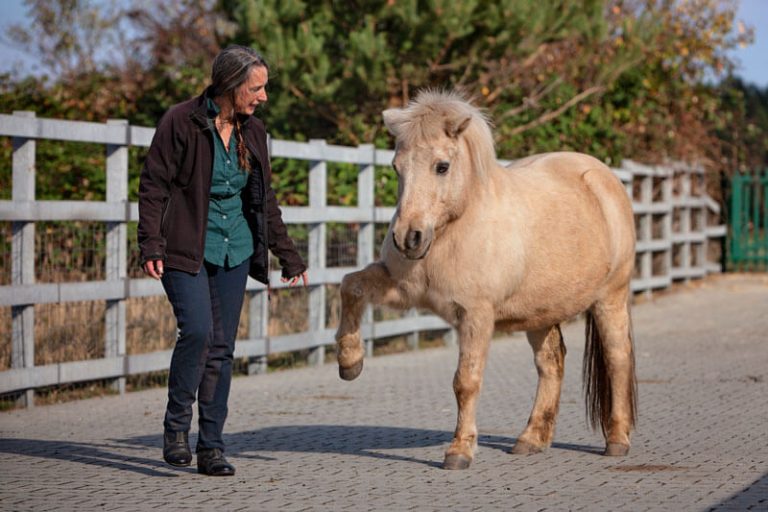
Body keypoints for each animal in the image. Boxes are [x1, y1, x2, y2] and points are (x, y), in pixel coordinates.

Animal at [334, 91, 636, 468]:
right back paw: (530, 439)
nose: (408, 238)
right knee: (551, 363)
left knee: (617, 358)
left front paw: (459, 451)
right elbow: (351, 285)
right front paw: (350, 362)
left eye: (442, 166)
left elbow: (466, 380)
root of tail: (603, 178)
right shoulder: (401, 289)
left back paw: (617, 440)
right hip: (540, 312)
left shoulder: (476, 314)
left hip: (610, 298)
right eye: (396, 167)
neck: (456, 227)